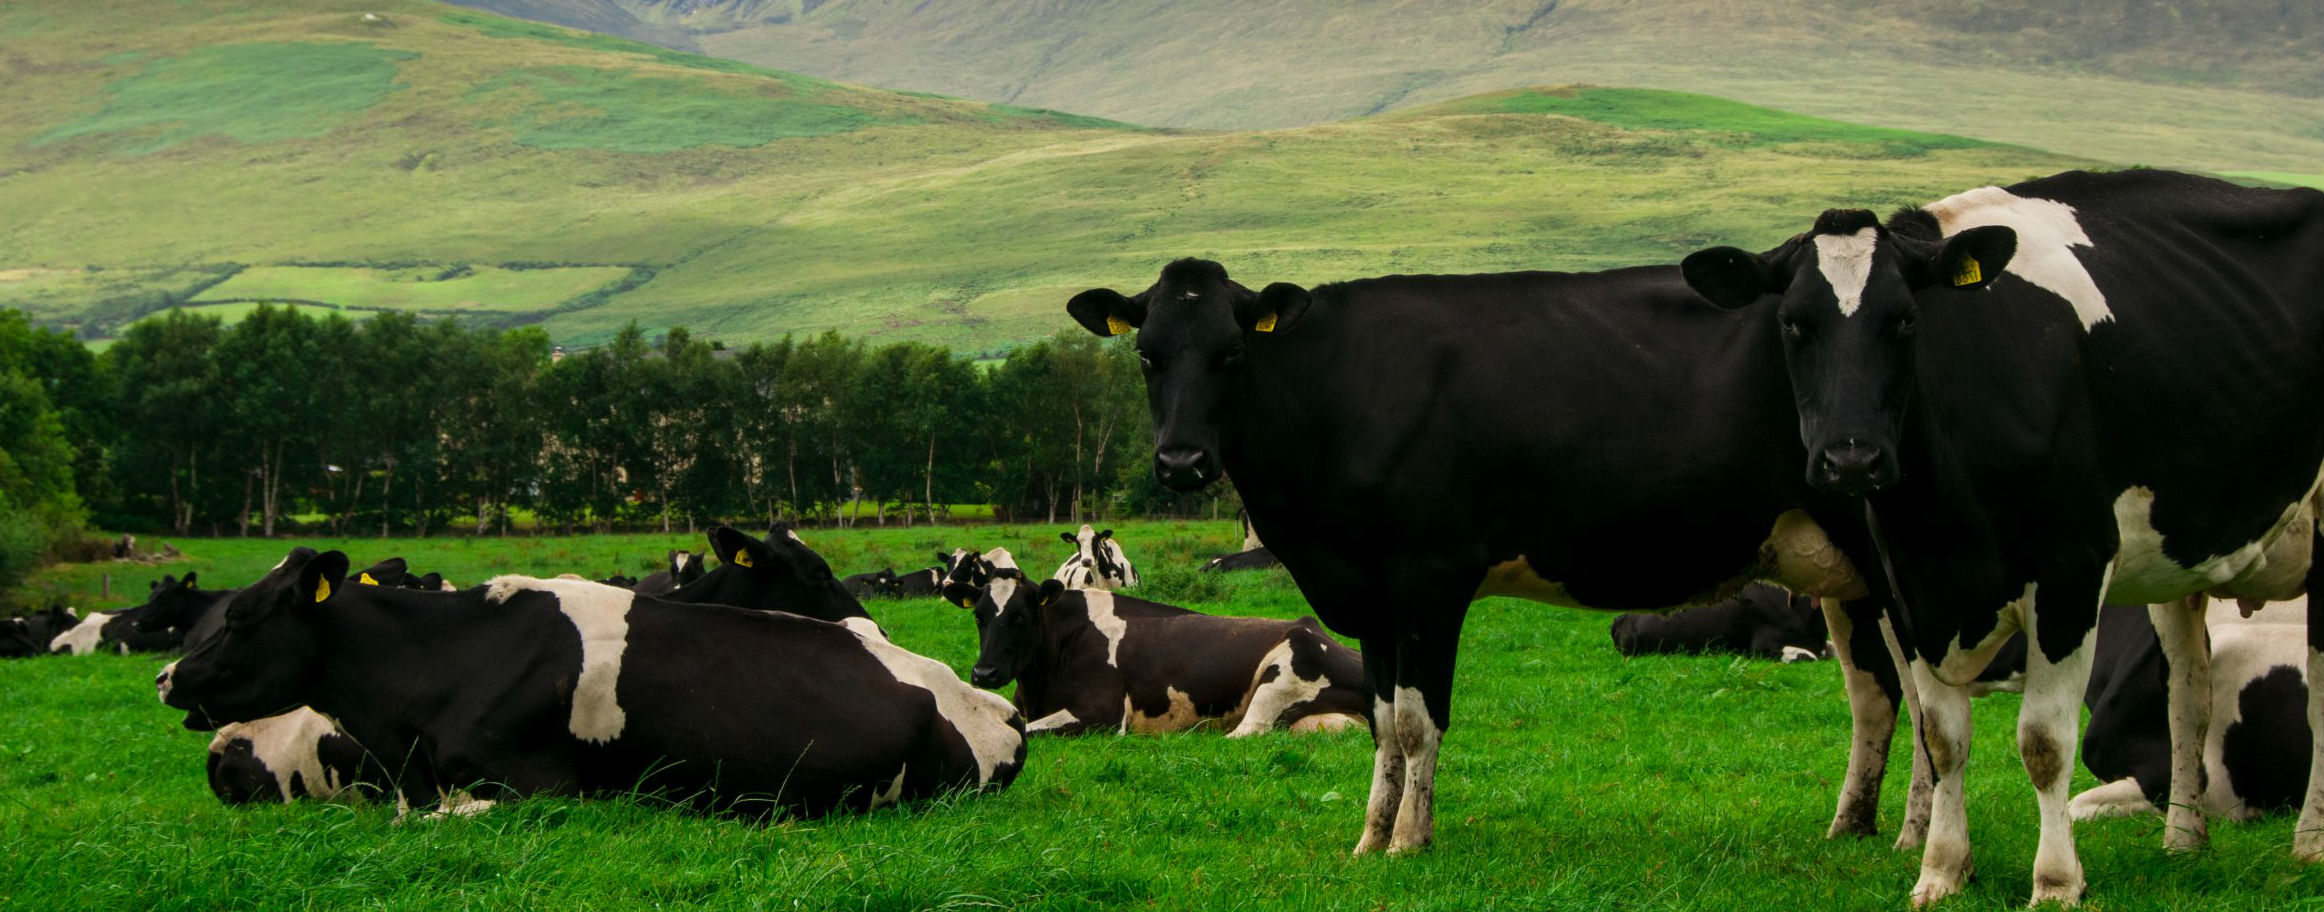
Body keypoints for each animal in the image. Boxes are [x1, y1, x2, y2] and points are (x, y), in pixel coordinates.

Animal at [952, 544, 1366, 735]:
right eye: (978, 617)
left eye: (1021, 618)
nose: (983, 673)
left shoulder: (1102, 712)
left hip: (1281, 672)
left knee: (1244, 732)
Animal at [1682, 167, 2324, 902]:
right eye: (1792, 323)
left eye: (1906, 320)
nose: (1852, 460)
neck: (1940, 521)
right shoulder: (1905, 587)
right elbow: (1941, 737)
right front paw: (1940, 871)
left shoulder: (2072, 569)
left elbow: (2043, 743)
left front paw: (2056, 883)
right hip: (2181, 564)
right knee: (2190, 694)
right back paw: (2184, 843)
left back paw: (2309, 844)